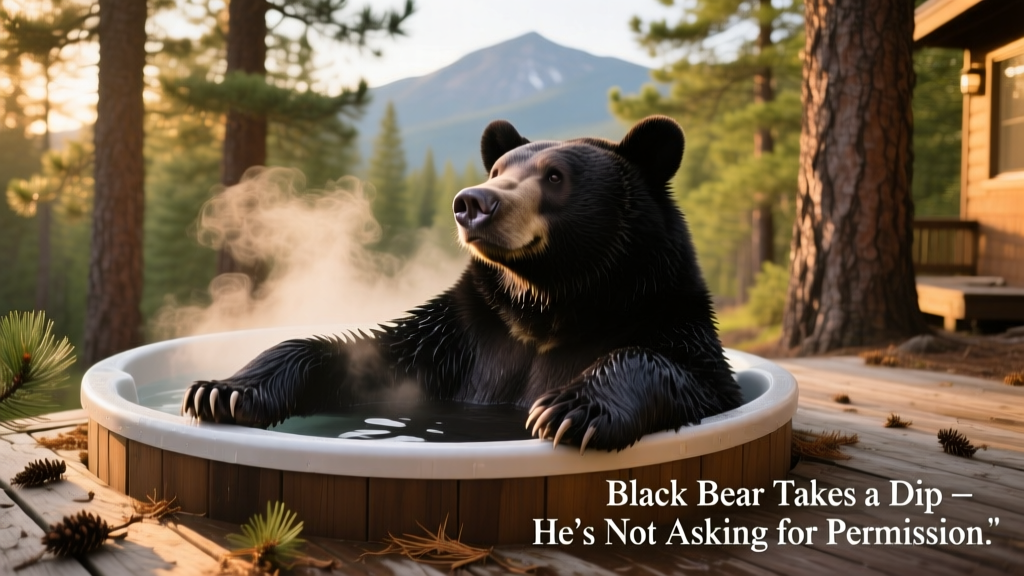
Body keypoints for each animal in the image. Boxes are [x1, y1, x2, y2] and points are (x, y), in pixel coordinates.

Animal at [181, 115, 742, 452]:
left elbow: (680, 372)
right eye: (498, 169)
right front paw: (220, 391)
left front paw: (568, 409)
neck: (548, 305)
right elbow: (362, 355)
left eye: (555, 175)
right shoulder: (462, 338)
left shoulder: (665, 317)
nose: (474, 201)